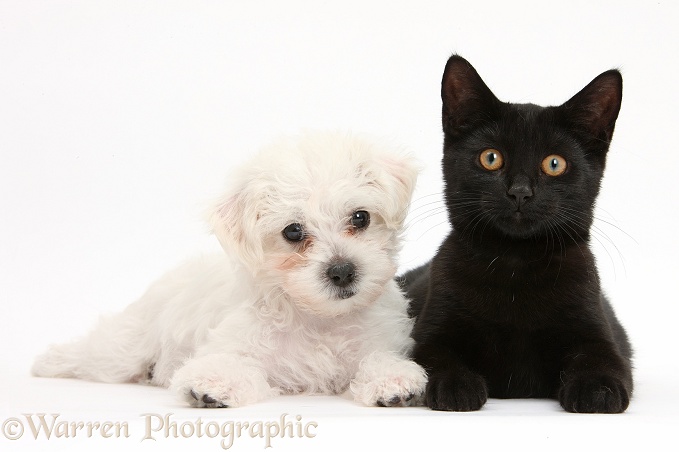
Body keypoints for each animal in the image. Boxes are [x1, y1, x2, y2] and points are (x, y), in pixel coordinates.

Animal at [31, 132, 428, 408]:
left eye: (360, 217)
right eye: (293, 232)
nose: (343, 271)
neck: (319, 319)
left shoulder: (380, 341)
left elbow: (377, 359)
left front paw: (393, 381)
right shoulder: (233, 342)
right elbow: (230, 363)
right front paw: (212, 385)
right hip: (124, 346)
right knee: (97, 352)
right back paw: (50, 361)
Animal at [404, 54, 632, 412]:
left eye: (555, 164)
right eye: (491, 158)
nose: (520, 192)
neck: (515, 262)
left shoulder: (600, 335)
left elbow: (600, 360)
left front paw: (597, 389)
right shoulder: (430, 332)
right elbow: (435, 357)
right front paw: (456, 385)